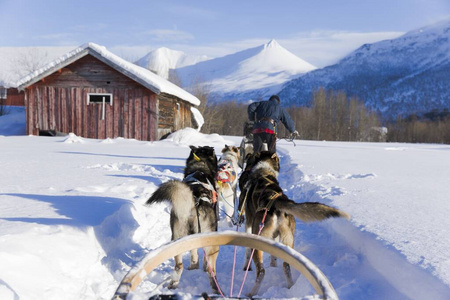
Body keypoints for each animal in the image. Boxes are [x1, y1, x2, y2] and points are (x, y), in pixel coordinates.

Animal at [146, 145, 220, 292]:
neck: (200, 166)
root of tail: (194, 201)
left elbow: (193, 253)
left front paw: (194, 265)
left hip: (177, 237)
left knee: (179, 266)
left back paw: (174, 282)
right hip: (211, 242)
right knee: (211, 270)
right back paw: (215, 288)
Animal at [237, 151, 350, 296]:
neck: (263, 171)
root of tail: (276, 201)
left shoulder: (249, 223)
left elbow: (246, 252)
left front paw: (246, 267)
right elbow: (274, 257)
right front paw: (273, 265)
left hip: (258, 240)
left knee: (261, 272)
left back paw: (251, 293)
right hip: (288, 242)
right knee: (286, 266)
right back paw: (290, 286)